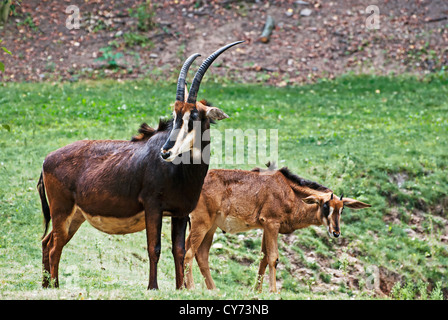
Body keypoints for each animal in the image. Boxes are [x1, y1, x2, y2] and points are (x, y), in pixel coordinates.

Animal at [36, 40, 243, 290]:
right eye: (175, 115)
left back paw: (46, 286)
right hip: (62, 210)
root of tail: (47, 159)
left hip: (75, 215)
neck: (181, 172)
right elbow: (154, 248)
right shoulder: (153, 207)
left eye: (193, 116)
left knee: (48, 242)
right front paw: (152, 287)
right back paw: (55, 287)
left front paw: (179, 288)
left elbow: (178, 250)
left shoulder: (181, 212)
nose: (166, 151)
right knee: (54, 246)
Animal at [185, 164, 372, 292]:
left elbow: (263, 258)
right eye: (326, 206)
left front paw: (257, 291)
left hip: (210, 227)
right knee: (190, 253)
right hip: (201, 223)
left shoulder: (266, 227)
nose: (336, 232)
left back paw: (209, 289)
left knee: (200, 253)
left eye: (342, 209)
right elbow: (273, 258)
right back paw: (191, 287)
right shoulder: (271, 224)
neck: (289, 191)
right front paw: (273, 291)